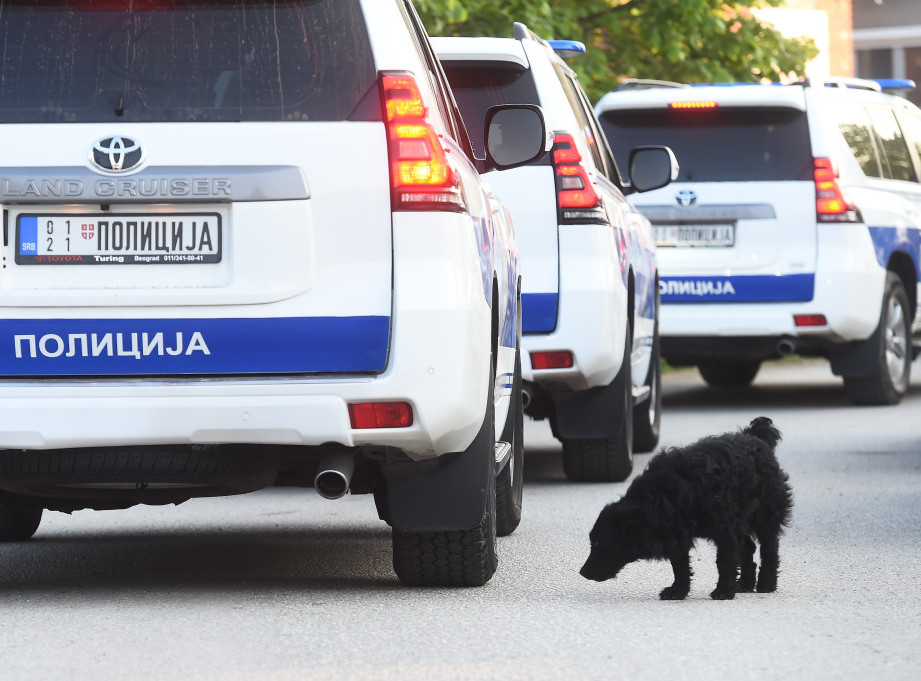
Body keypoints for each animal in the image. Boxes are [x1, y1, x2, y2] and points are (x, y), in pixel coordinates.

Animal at [584, 414, 792, 600]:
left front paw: (724, 590)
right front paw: (678, 590)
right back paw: (745, 584)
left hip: (765, 515)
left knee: (769, 548)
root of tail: (754, 436)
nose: (582, 572)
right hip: (741, 520)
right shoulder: (676, 532)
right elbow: (679, 565)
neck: (663, 496)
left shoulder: (723, 529)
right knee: (747, 548)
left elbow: (724, 561)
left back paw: (766, 583)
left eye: (599, 543)